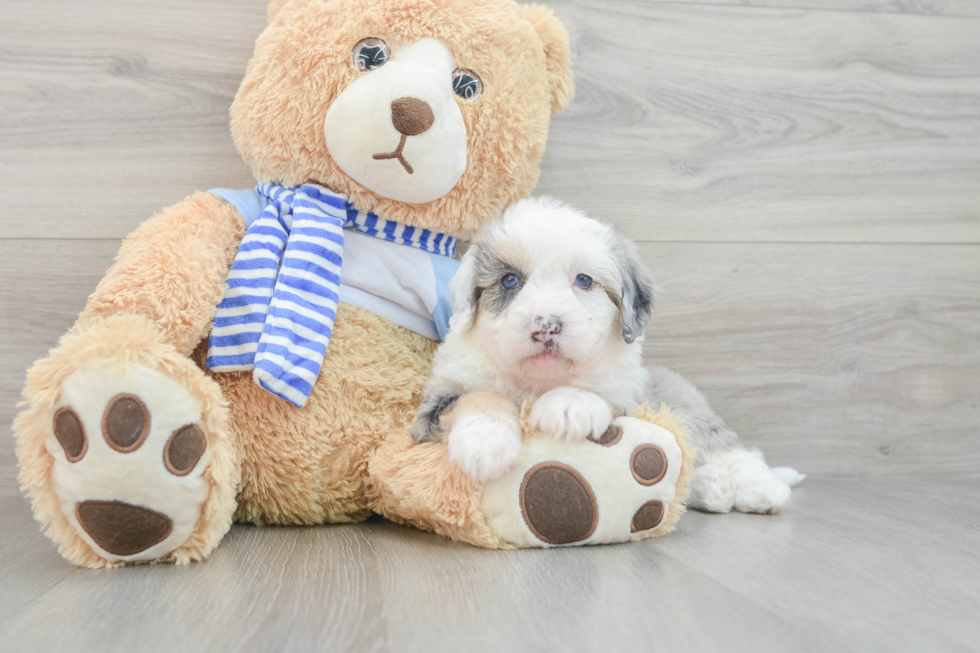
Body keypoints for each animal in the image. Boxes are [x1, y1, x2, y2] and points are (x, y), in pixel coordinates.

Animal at [414, 196, 804, 512]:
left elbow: (598, 394)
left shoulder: (633, 400)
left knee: (728, 447)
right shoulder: (434, 407)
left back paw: (761, 488)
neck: (538, 382)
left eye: (584, 281)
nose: (546, 326)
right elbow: (478, 397)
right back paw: (713, 490)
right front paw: (484, 443)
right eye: (510, 280)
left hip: (682, 403)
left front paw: (569, 406)